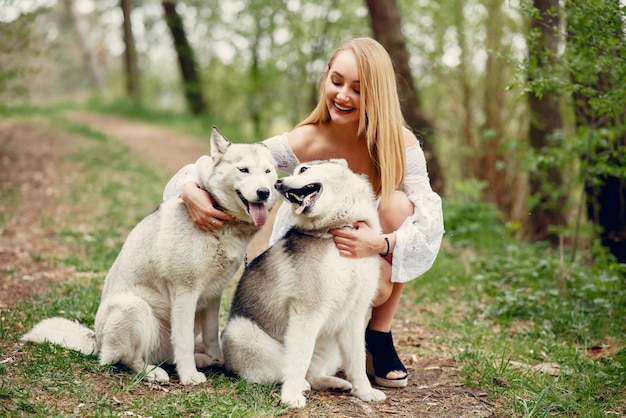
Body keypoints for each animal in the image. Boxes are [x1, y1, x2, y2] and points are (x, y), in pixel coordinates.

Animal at [22, 126, 276, 386]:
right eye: (243, 170)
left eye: (268, 172)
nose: (264, 192)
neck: (223, 220)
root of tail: (96, 340)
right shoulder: (185, 292)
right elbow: (183, 341)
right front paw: (189, 376)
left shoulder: (213, 295)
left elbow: (212, 335)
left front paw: (218, 361)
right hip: (134, 307)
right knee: (126, 359)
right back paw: (153, 372)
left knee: (165, 354)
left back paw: (201, 359)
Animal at [219, 158, 386, 406]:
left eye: (304, 169)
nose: (278, 184)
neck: (336, 230)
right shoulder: (307, 311)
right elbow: (298, 359)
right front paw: (291, 396)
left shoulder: (355, 315)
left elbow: (357, 360)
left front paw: (365, 392)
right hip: (241, 331)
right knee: (283, 370)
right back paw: (301, 385)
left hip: (331, 343)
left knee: (314, 374)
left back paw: (335, 383)